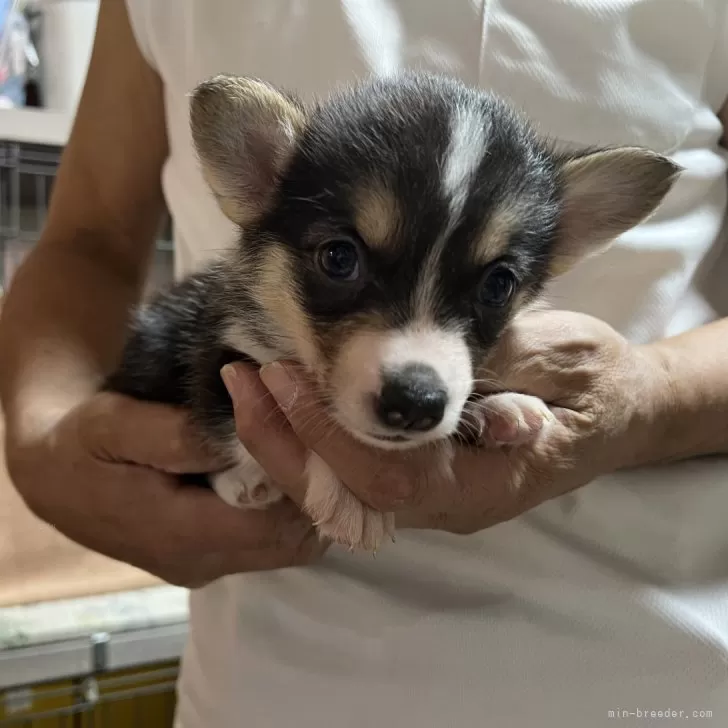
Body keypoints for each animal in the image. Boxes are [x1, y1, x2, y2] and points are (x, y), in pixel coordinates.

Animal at [105, 72, 680, 552]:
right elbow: (266, 412)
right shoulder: (217, 347)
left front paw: (500, 405)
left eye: (499, 285)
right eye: (339, 258)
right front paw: (346, 495)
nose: (417, 402)